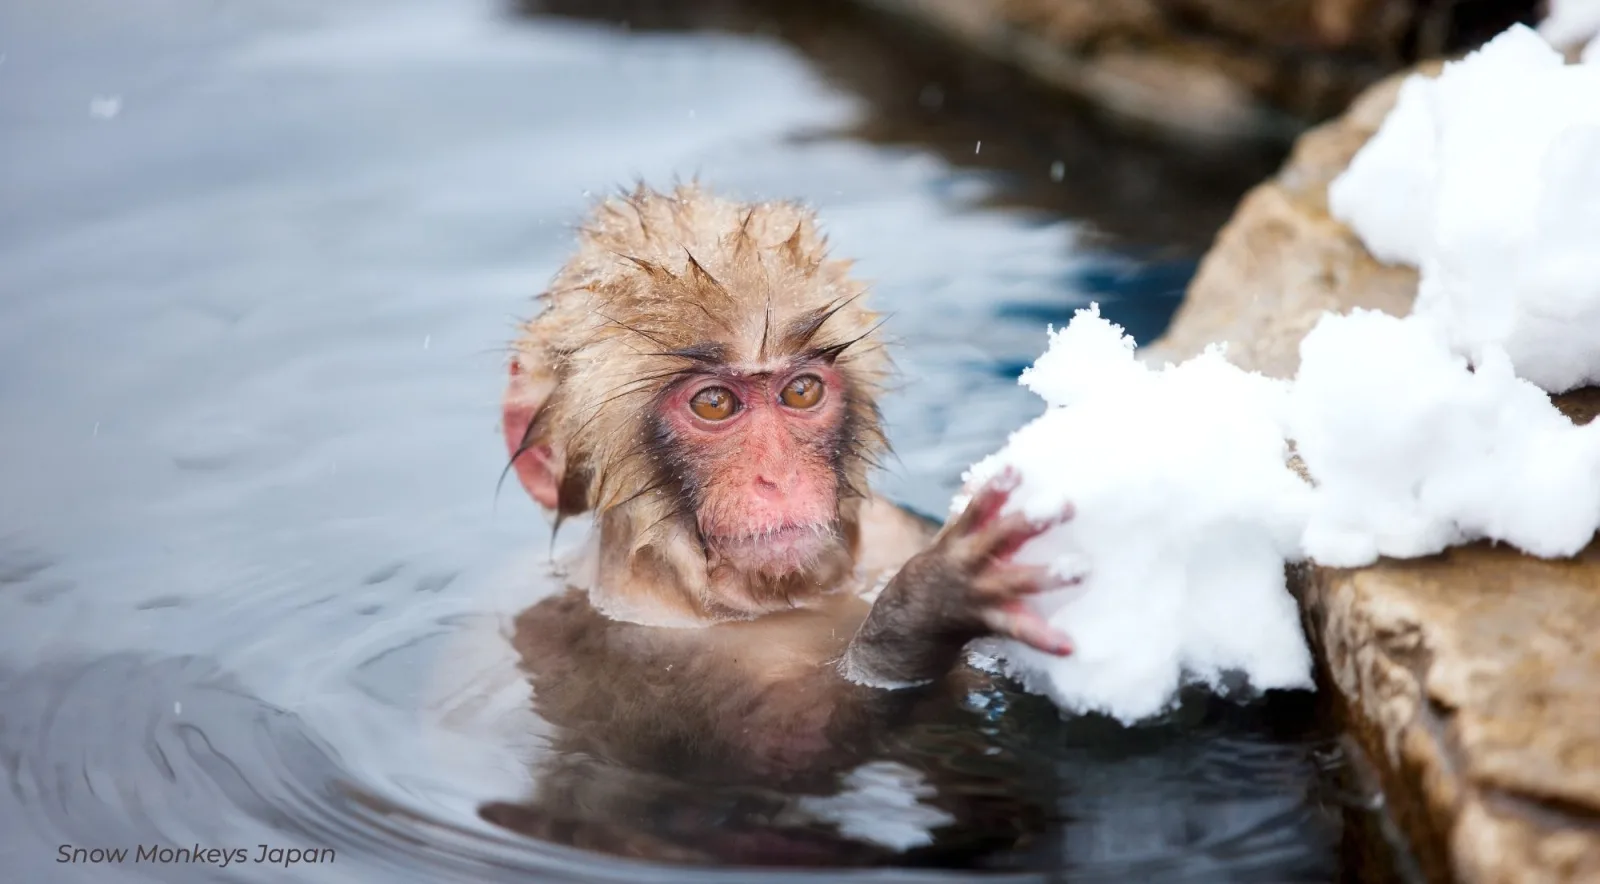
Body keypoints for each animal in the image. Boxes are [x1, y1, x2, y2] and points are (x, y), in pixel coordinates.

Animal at [482, 183, 1079, 867]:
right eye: (715, 403)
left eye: (800, 392)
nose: (780, 477)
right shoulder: (642, 646)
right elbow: (787, 752)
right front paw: (929, 605)